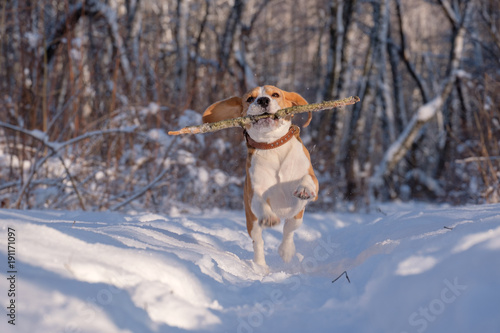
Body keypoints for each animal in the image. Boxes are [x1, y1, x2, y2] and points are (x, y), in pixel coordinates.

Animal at [202, 85, 316, 268]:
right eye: (250, 98)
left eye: (276, 94)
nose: (262, 100)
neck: (273, 147)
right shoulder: (255, 192)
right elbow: (261, 202)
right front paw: (269, 217)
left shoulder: (311, 180)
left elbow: (307, 179)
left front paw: (304, 189)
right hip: (252, 221)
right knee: (259, 242)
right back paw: (261, 266)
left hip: (297, 215)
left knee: (289, 228)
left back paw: (286, 251)